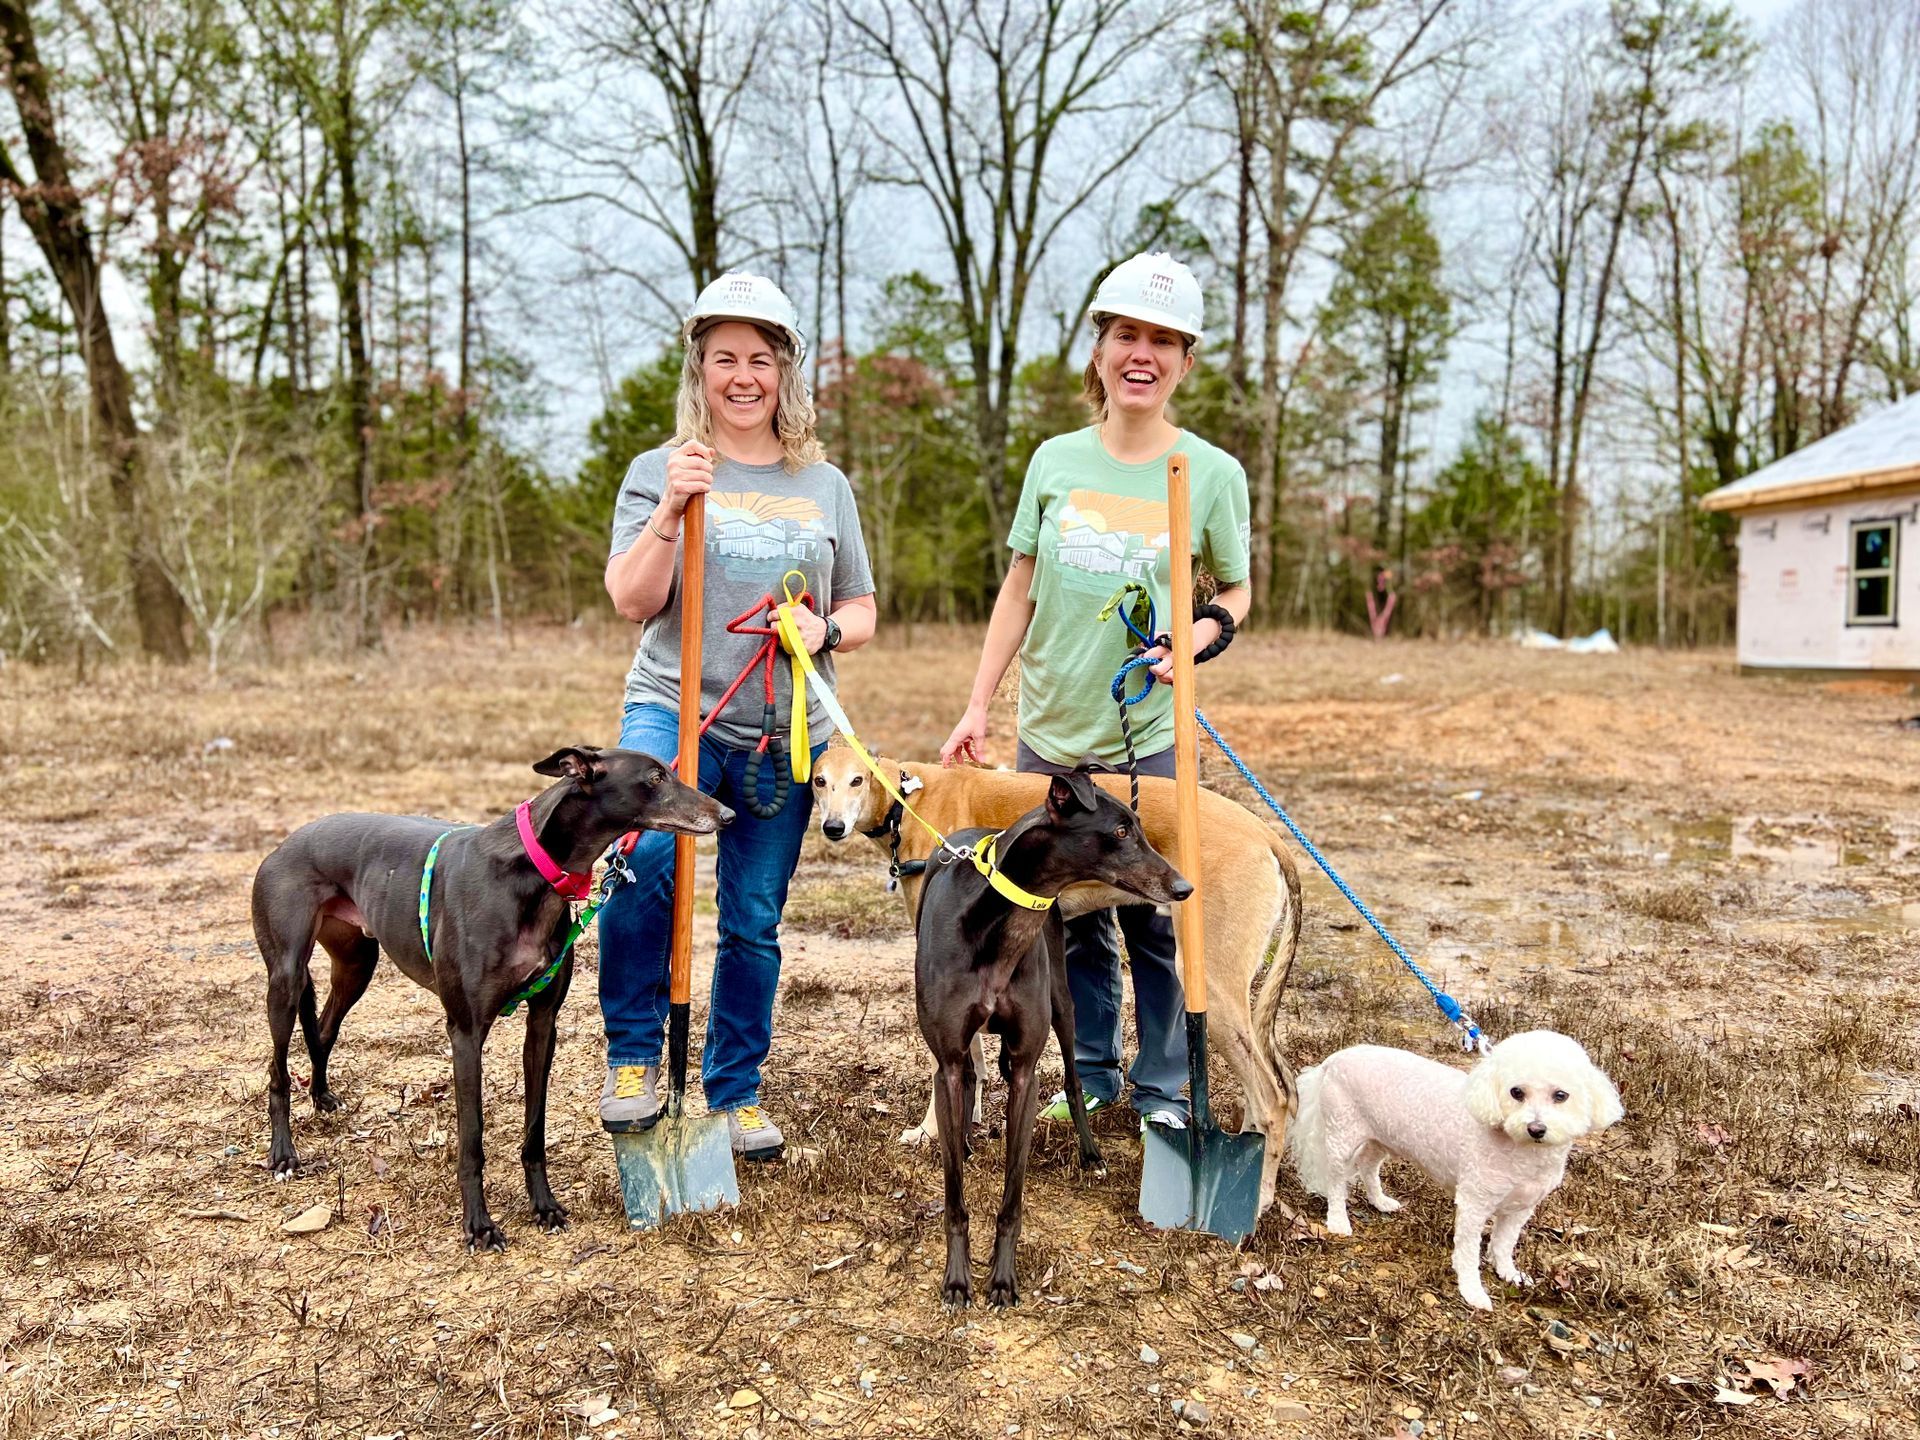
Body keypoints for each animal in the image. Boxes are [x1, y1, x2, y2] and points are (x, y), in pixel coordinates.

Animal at [1290, 1029, 1620, 1313]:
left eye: (1561, 1096)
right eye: (1516, 1092)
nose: (1536, 1128)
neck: (1523, 1152)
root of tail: (1335, 1058)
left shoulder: (1520, 1209)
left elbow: (1504, 1244)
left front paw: (1509, 1273)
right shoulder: (1475, 1204)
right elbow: (1468, 1252)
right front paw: (1473, 1291)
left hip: (1383, 1136)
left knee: (1369, 1164)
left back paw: (1380, 1201)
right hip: (1342, 1133)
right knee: (1337, 1180)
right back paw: (1338, 1221)